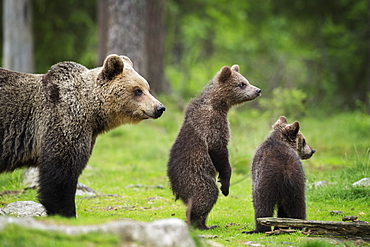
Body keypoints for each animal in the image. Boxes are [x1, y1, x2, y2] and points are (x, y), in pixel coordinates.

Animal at [0, 55, 165, 217]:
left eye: (147, 88)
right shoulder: (62, 122)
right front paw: (65, 211)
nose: (159, 108)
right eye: (137, 90)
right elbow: (61, 171)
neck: (91, 113)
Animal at [168, 64, 260, 230]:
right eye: (242, 84)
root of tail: (175, 187)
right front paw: (225, 184)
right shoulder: (212, 125)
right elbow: (219, 151)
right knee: (206, 194)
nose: (258, 90)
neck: (218, 105)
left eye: (246, 81)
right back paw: (199, 223)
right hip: (195, 176)